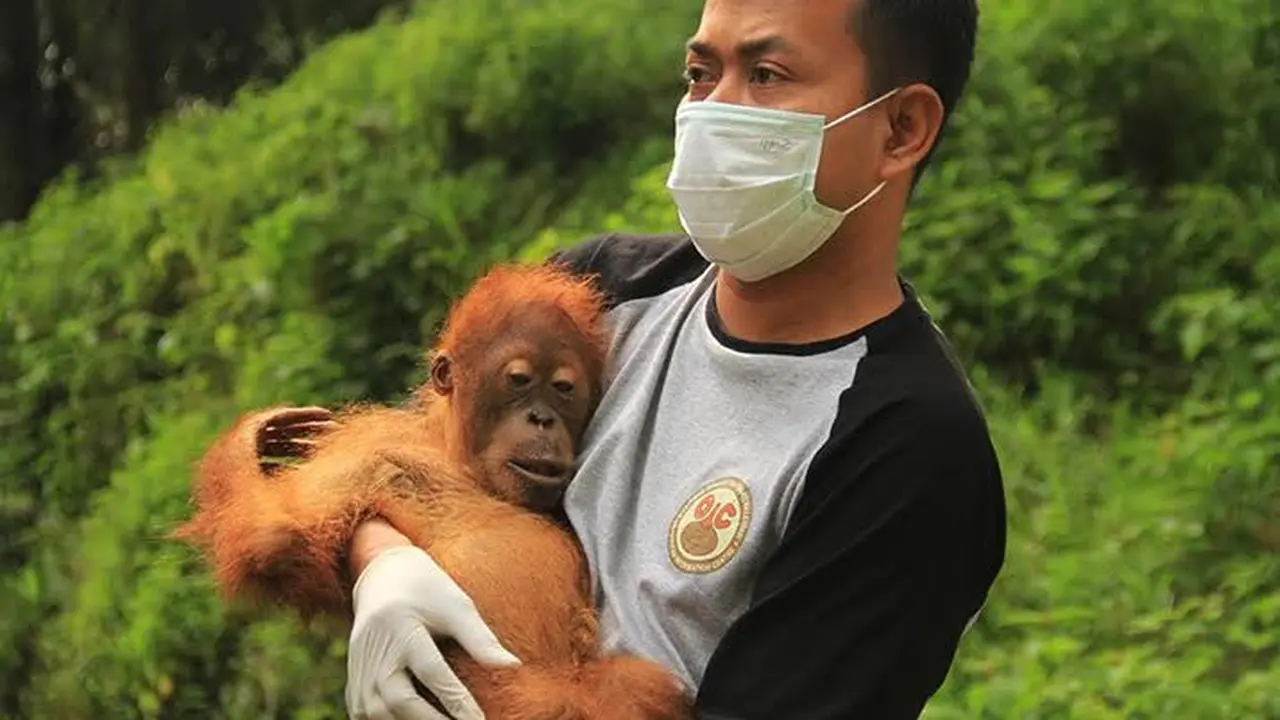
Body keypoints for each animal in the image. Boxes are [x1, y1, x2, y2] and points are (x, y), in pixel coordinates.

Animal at [173, 263, 692, 720]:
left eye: (563, 389)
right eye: (519, 381)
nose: (542, 418)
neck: (457, 457)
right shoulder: (365, 449)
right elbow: (274, 539)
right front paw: (252, 435)